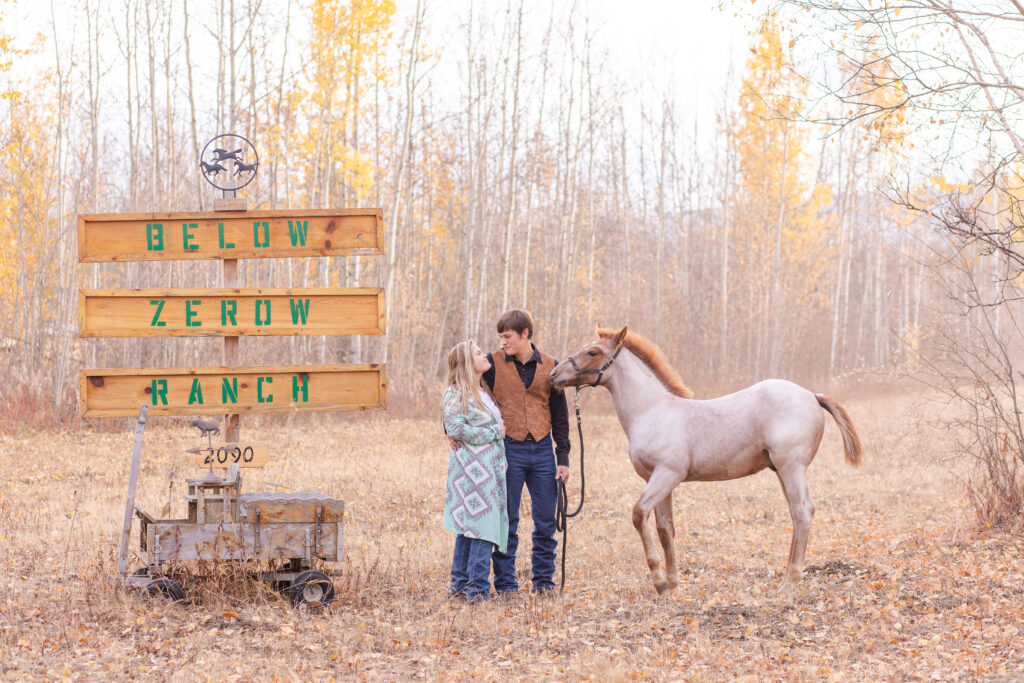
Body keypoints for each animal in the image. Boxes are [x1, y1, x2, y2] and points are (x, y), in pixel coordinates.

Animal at [548, 327, 860, 593]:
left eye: (592, 352)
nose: (553, 375)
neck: (652, 411)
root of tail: (812, 395)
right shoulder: (657, 480)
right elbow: (665, 529)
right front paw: (672, 584)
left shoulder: (668, 474)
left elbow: (638, 514)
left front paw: (658, 580)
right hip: (782, 471)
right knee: (798, 514)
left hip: (791, 468)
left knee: (802, 512)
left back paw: (789, 586)